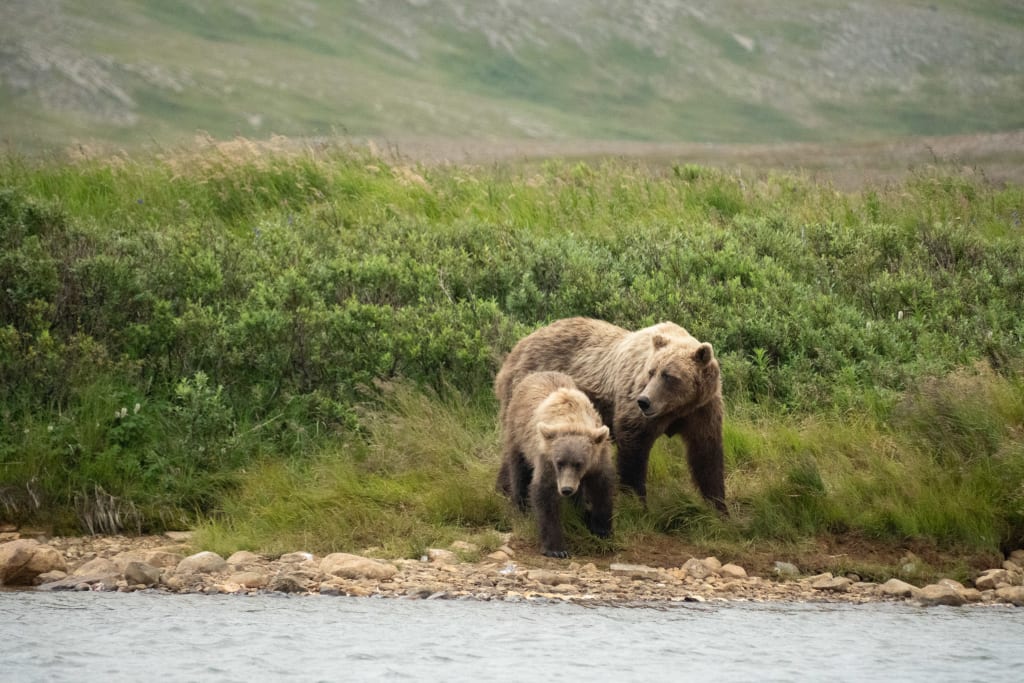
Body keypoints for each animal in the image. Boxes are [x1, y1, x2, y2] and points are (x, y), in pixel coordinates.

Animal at [494, 317, 726, 513]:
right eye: (651, 371)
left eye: (669, 376)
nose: (644, 401)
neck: (677, 408)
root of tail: (517, 347)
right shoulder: (634, 405)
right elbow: (633, 452)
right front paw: (636, 503)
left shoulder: (702, 410)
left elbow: (706, 455)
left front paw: (719, 507)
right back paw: (507, 489)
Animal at [496, 371, 615, 558]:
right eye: (559, 463)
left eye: (579, 464)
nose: (566, 489)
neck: (572, 420)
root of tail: (536, 374)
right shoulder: (546, 458)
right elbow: (545, 496)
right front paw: (556, 549)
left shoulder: (599, 456)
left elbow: (601, 489)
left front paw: (601, 530)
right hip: (516, 432)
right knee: (518, 470)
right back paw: (520, 507)